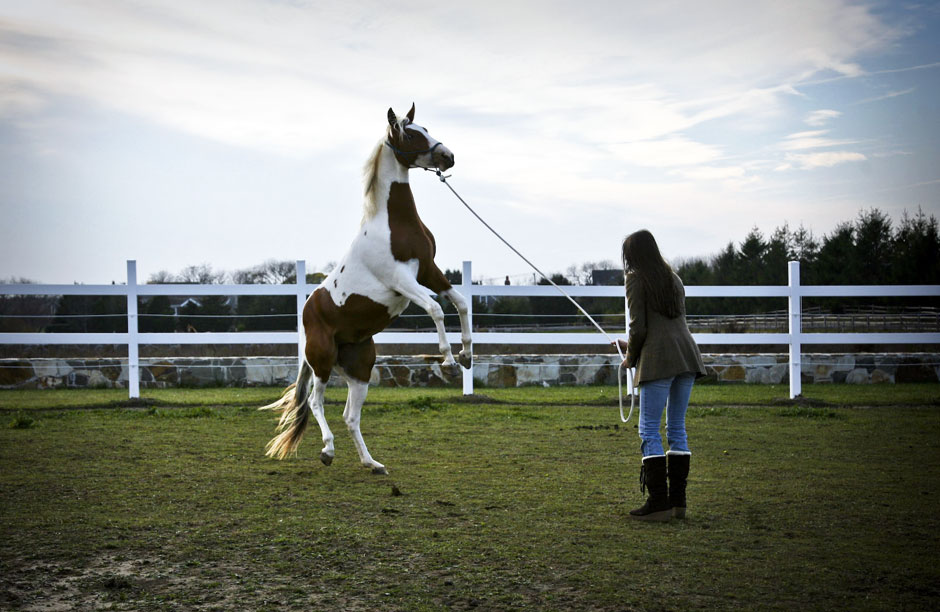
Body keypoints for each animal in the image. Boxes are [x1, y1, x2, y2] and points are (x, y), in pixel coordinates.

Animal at [260, 105, 470, 476]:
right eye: (411, 133)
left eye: (426, 127)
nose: (448, 157)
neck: (393, 224)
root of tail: (308, 311)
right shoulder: (402, 281)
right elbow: (435, 309)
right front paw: (447, 362)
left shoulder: (430, 271)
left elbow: (459, 304)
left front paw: (467, 355)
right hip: (321, 361)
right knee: (315, 402)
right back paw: (328, 451)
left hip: (359, 370)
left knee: (350, 415)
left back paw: (372, 463)